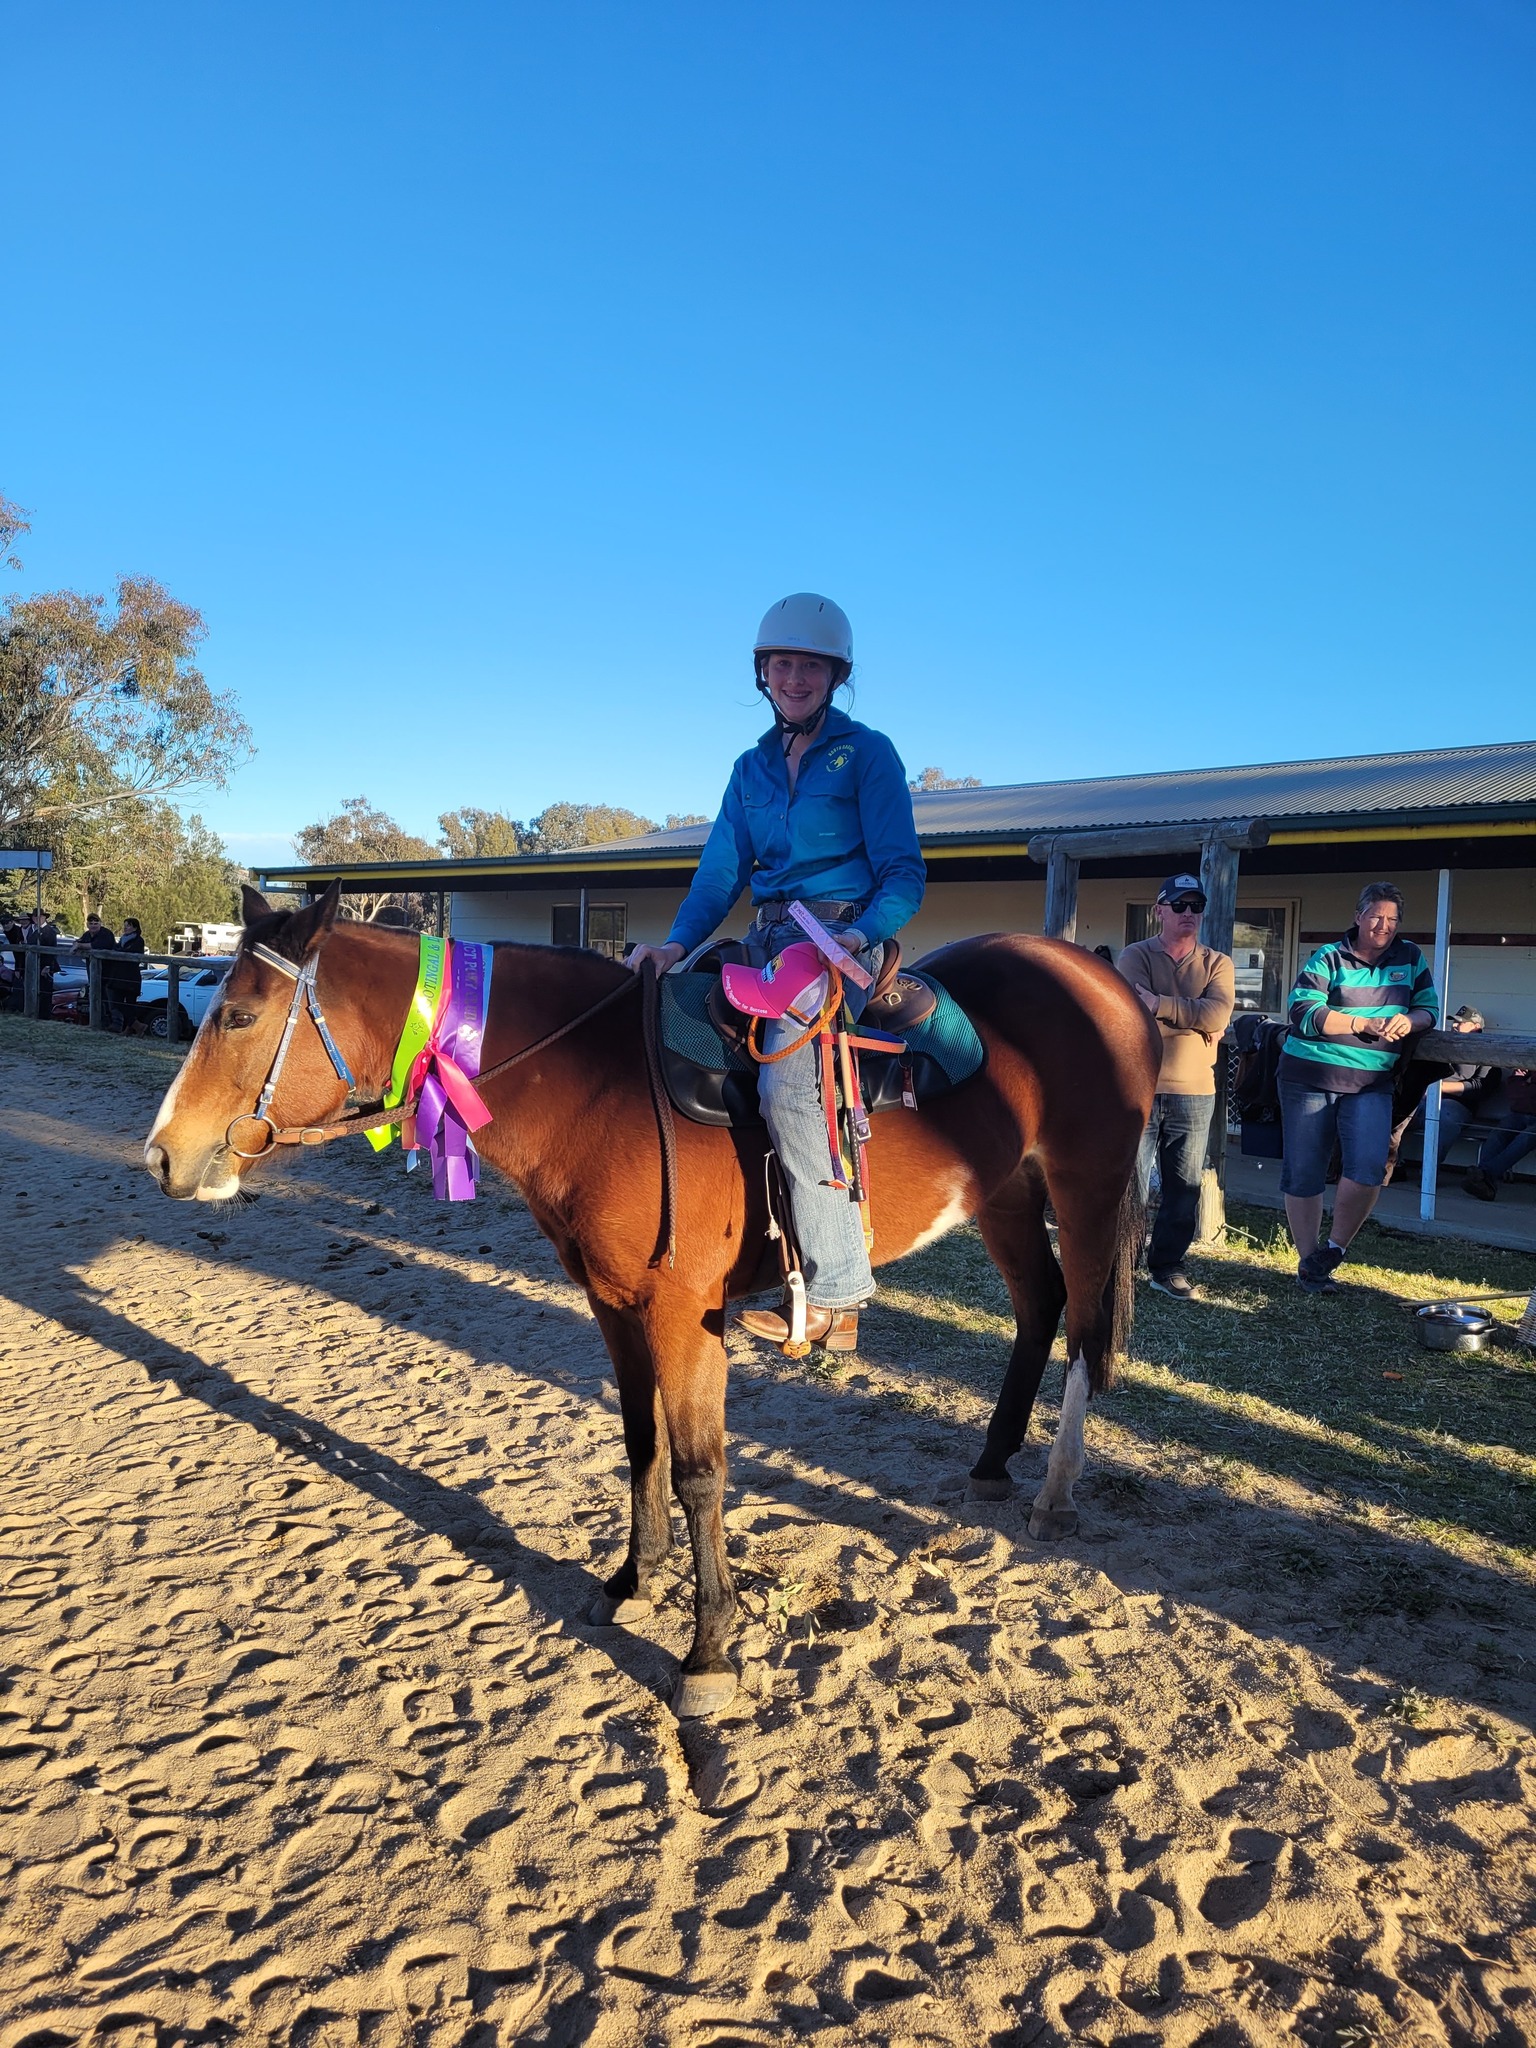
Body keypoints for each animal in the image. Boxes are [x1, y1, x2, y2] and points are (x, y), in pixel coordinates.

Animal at [145, 883, 1159, 1717]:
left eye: (237, 1014)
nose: (162, 1155)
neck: (597, 1086)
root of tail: (1099, 977)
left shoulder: (683, 1315)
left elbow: (702, 1470)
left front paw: (708, 1651)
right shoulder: (615, 1304)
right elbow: (643, 1445)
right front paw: (633, 1579)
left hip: (1088, 1181)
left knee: (1083, 1326)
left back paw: (1056, 1492)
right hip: (1007, 1190)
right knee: (1039, 1307)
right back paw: (992, 1465)